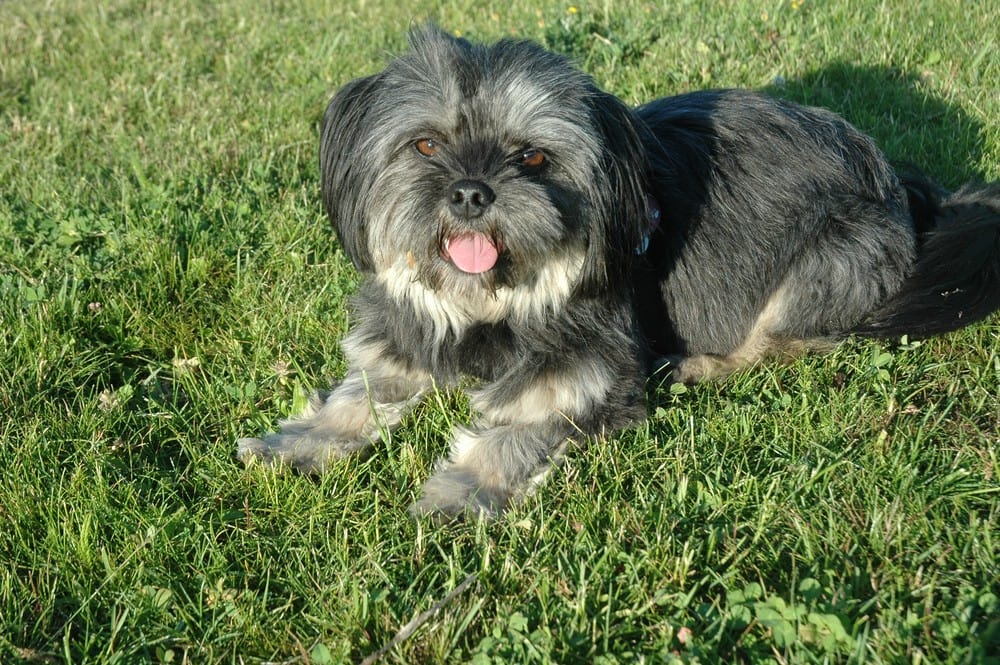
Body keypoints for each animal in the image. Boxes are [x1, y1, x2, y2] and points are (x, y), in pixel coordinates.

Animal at [236, 26, 1000, 520]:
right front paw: (296, 442)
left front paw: (461, 492)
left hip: (828, 258)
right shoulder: (405, 332)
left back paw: (700, 364)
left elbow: (515, 430)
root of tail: (901, 185)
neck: (494, 304)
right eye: (425, 145)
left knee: (790, 341)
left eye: (533, 157)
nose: (472, 192)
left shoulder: (586, 371)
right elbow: (355, 395)